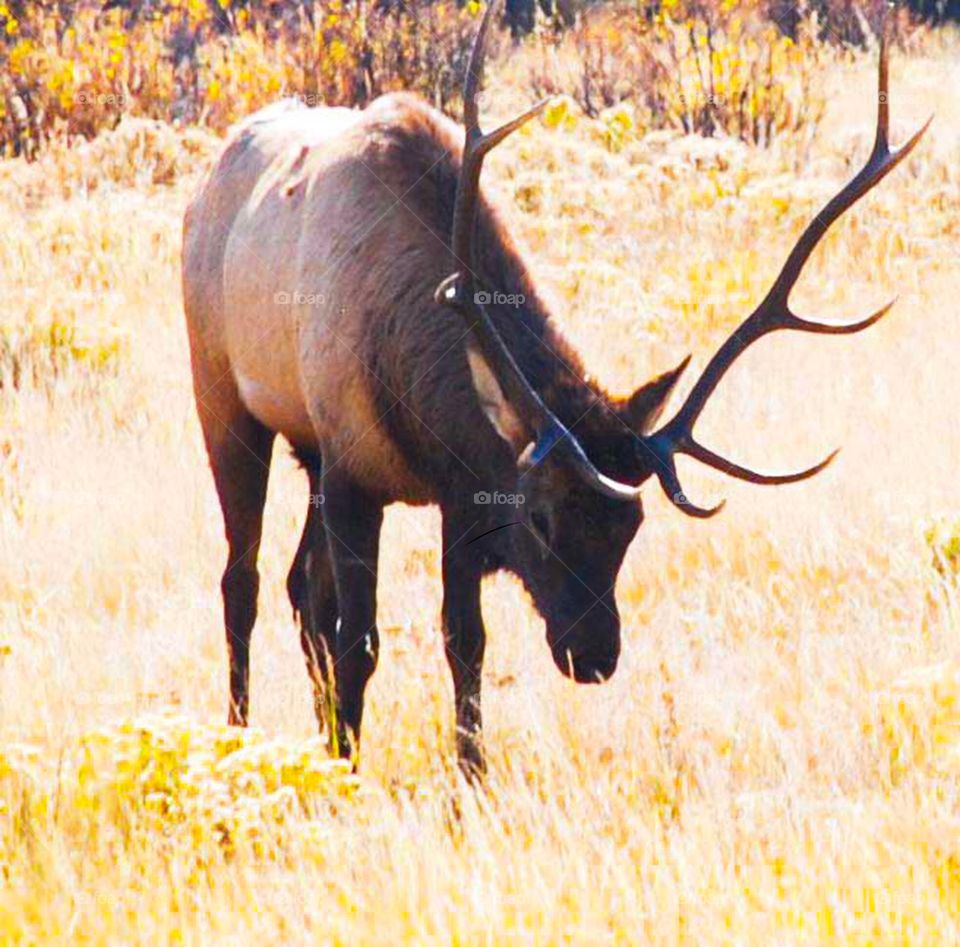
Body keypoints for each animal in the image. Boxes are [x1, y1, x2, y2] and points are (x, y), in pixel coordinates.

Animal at [182, 0, 928, 775]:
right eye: (541, 519)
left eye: (631, 525)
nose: (594, 654)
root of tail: (208, 177)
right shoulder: (354, 466)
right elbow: (359, 642)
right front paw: (350, 767)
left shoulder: (460, 491)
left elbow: (463, 642)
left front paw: (469, 777)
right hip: (224, 397)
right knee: (244, 582)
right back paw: (236, 732)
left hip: (308, 450)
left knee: (301, 586)